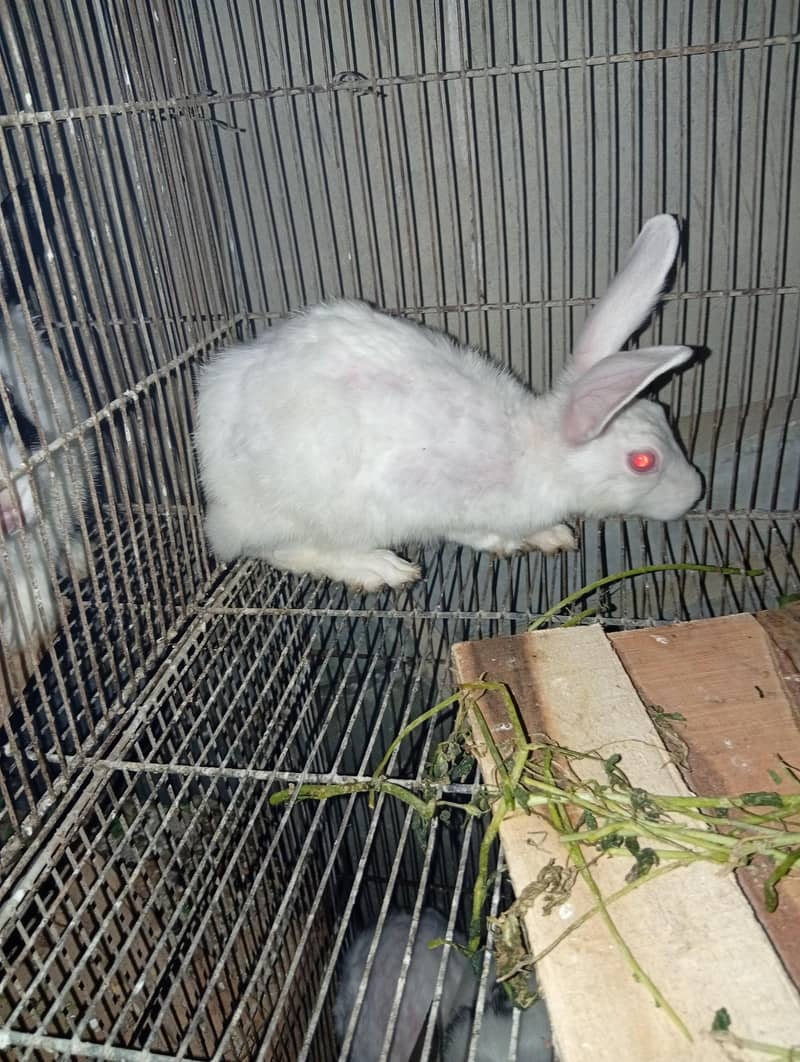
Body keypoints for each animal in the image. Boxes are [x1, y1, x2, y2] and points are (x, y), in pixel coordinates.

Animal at [196, 215, 702, 592]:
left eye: (664, 415)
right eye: (643, 461)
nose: (695, 492)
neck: (538, 452)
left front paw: (552, 534)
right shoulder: (433, 501)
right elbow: (472, 530)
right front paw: (510, 542)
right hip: (319, 511)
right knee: (280, 550)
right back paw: (379, 568)